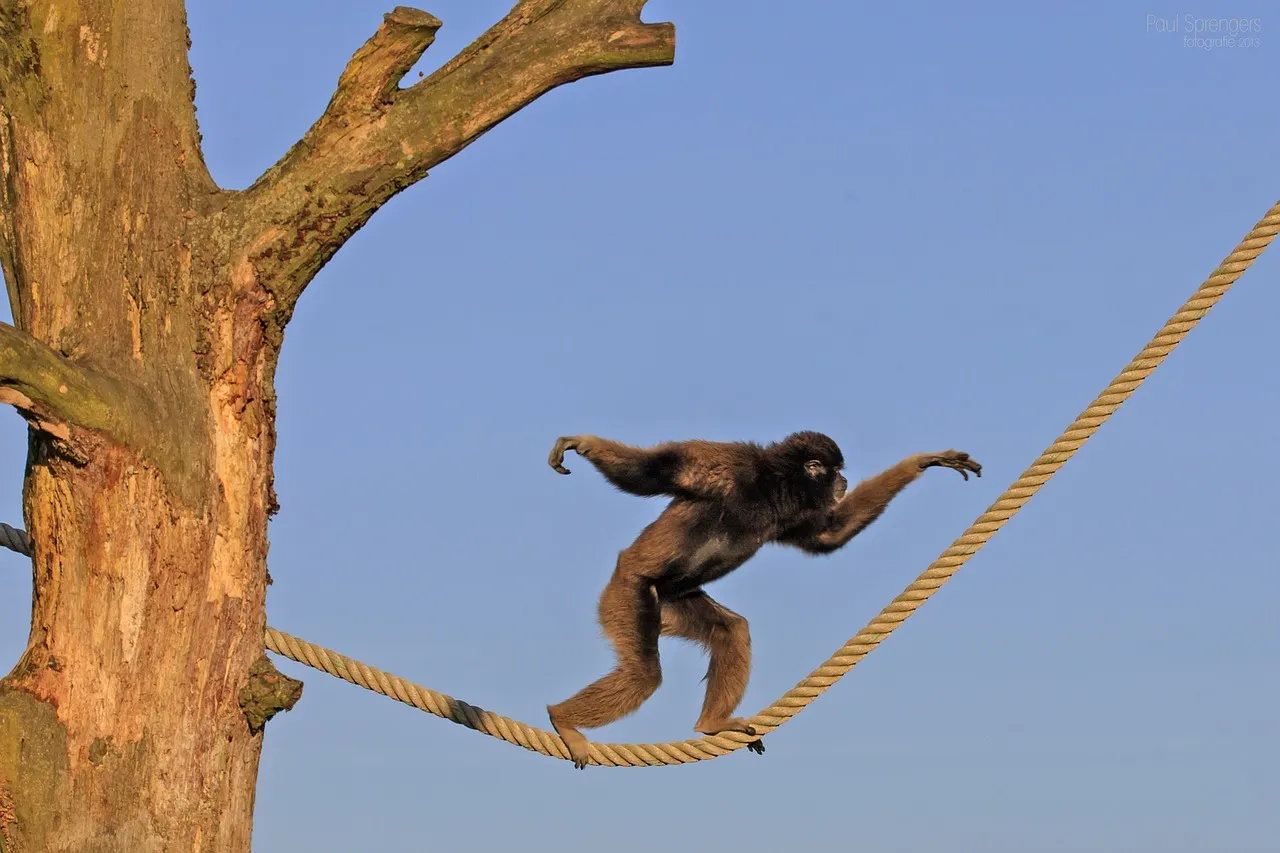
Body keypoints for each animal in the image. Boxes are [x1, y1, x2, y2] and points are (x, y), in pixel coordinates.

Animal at [543, 431, 981, 769]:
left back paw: (711, 723)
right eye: (834, 469)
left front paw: (923, 462)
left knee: (731, 629)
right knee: (643, 675)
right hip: (631, 591)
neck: (771, 486)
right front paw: (582, 444)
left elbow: (829, 534)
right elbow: (655, 469)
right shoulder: (730, 462)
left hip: (672, 601)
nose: (842, 479)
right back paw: (562, 721)